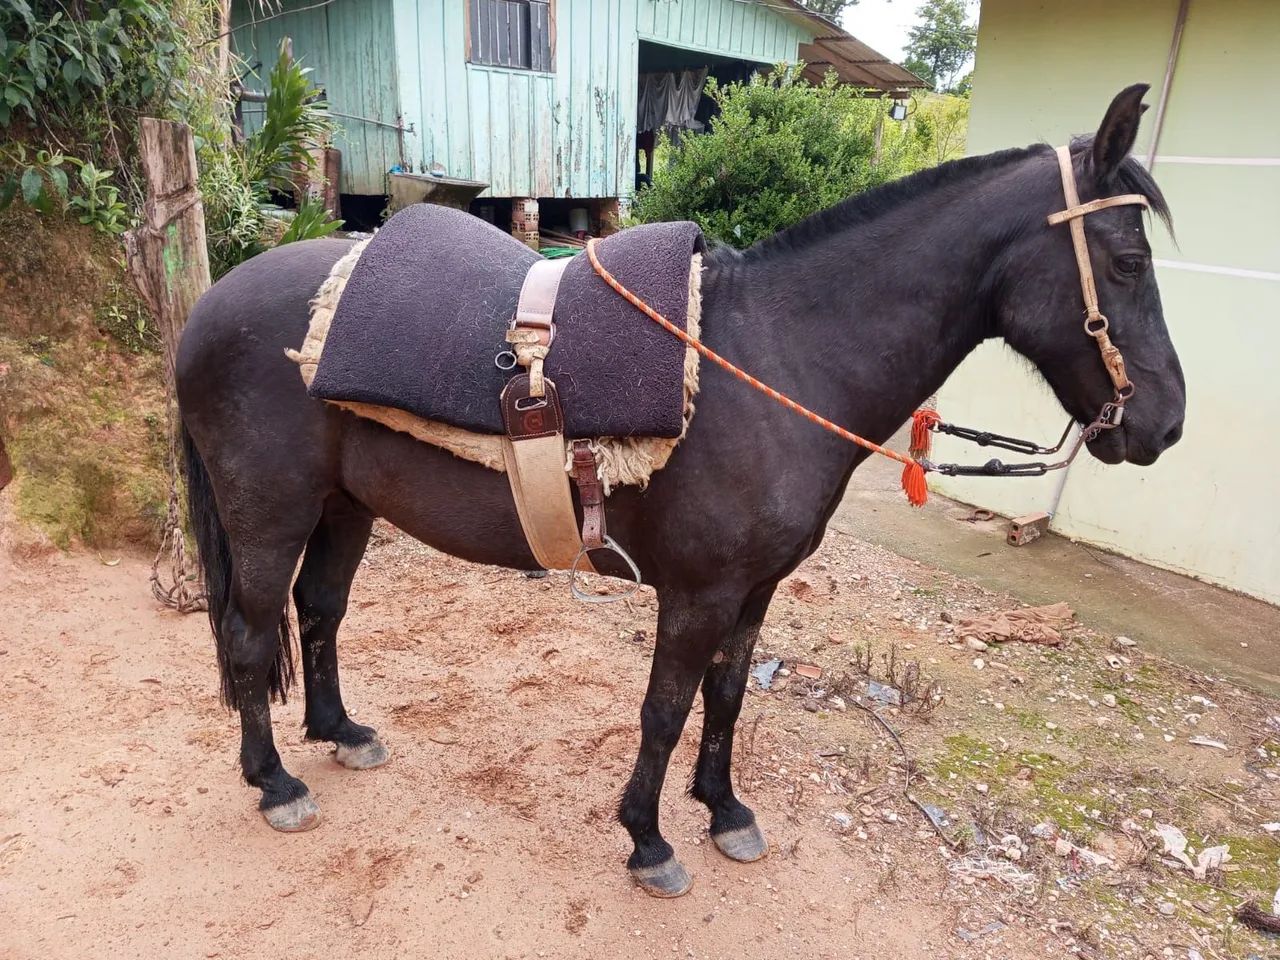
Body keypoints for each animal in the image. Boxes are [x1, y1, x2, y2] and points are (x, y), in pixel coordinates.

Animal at [176, 85, 1184, 897]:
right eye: (1128, 262)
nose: (1165, 425)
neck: (777, 359)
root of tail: (207, 309)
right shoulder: (695, 593)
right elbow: (665, 708)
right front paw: (649, 840)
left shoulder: (755, 589)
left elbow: (728, 696)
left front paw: (725, 809)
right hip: (269, 516)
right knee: (250, 634)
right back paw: (275, 782)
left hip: (345, 508)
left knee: (319, 610)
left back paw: (341, 733)